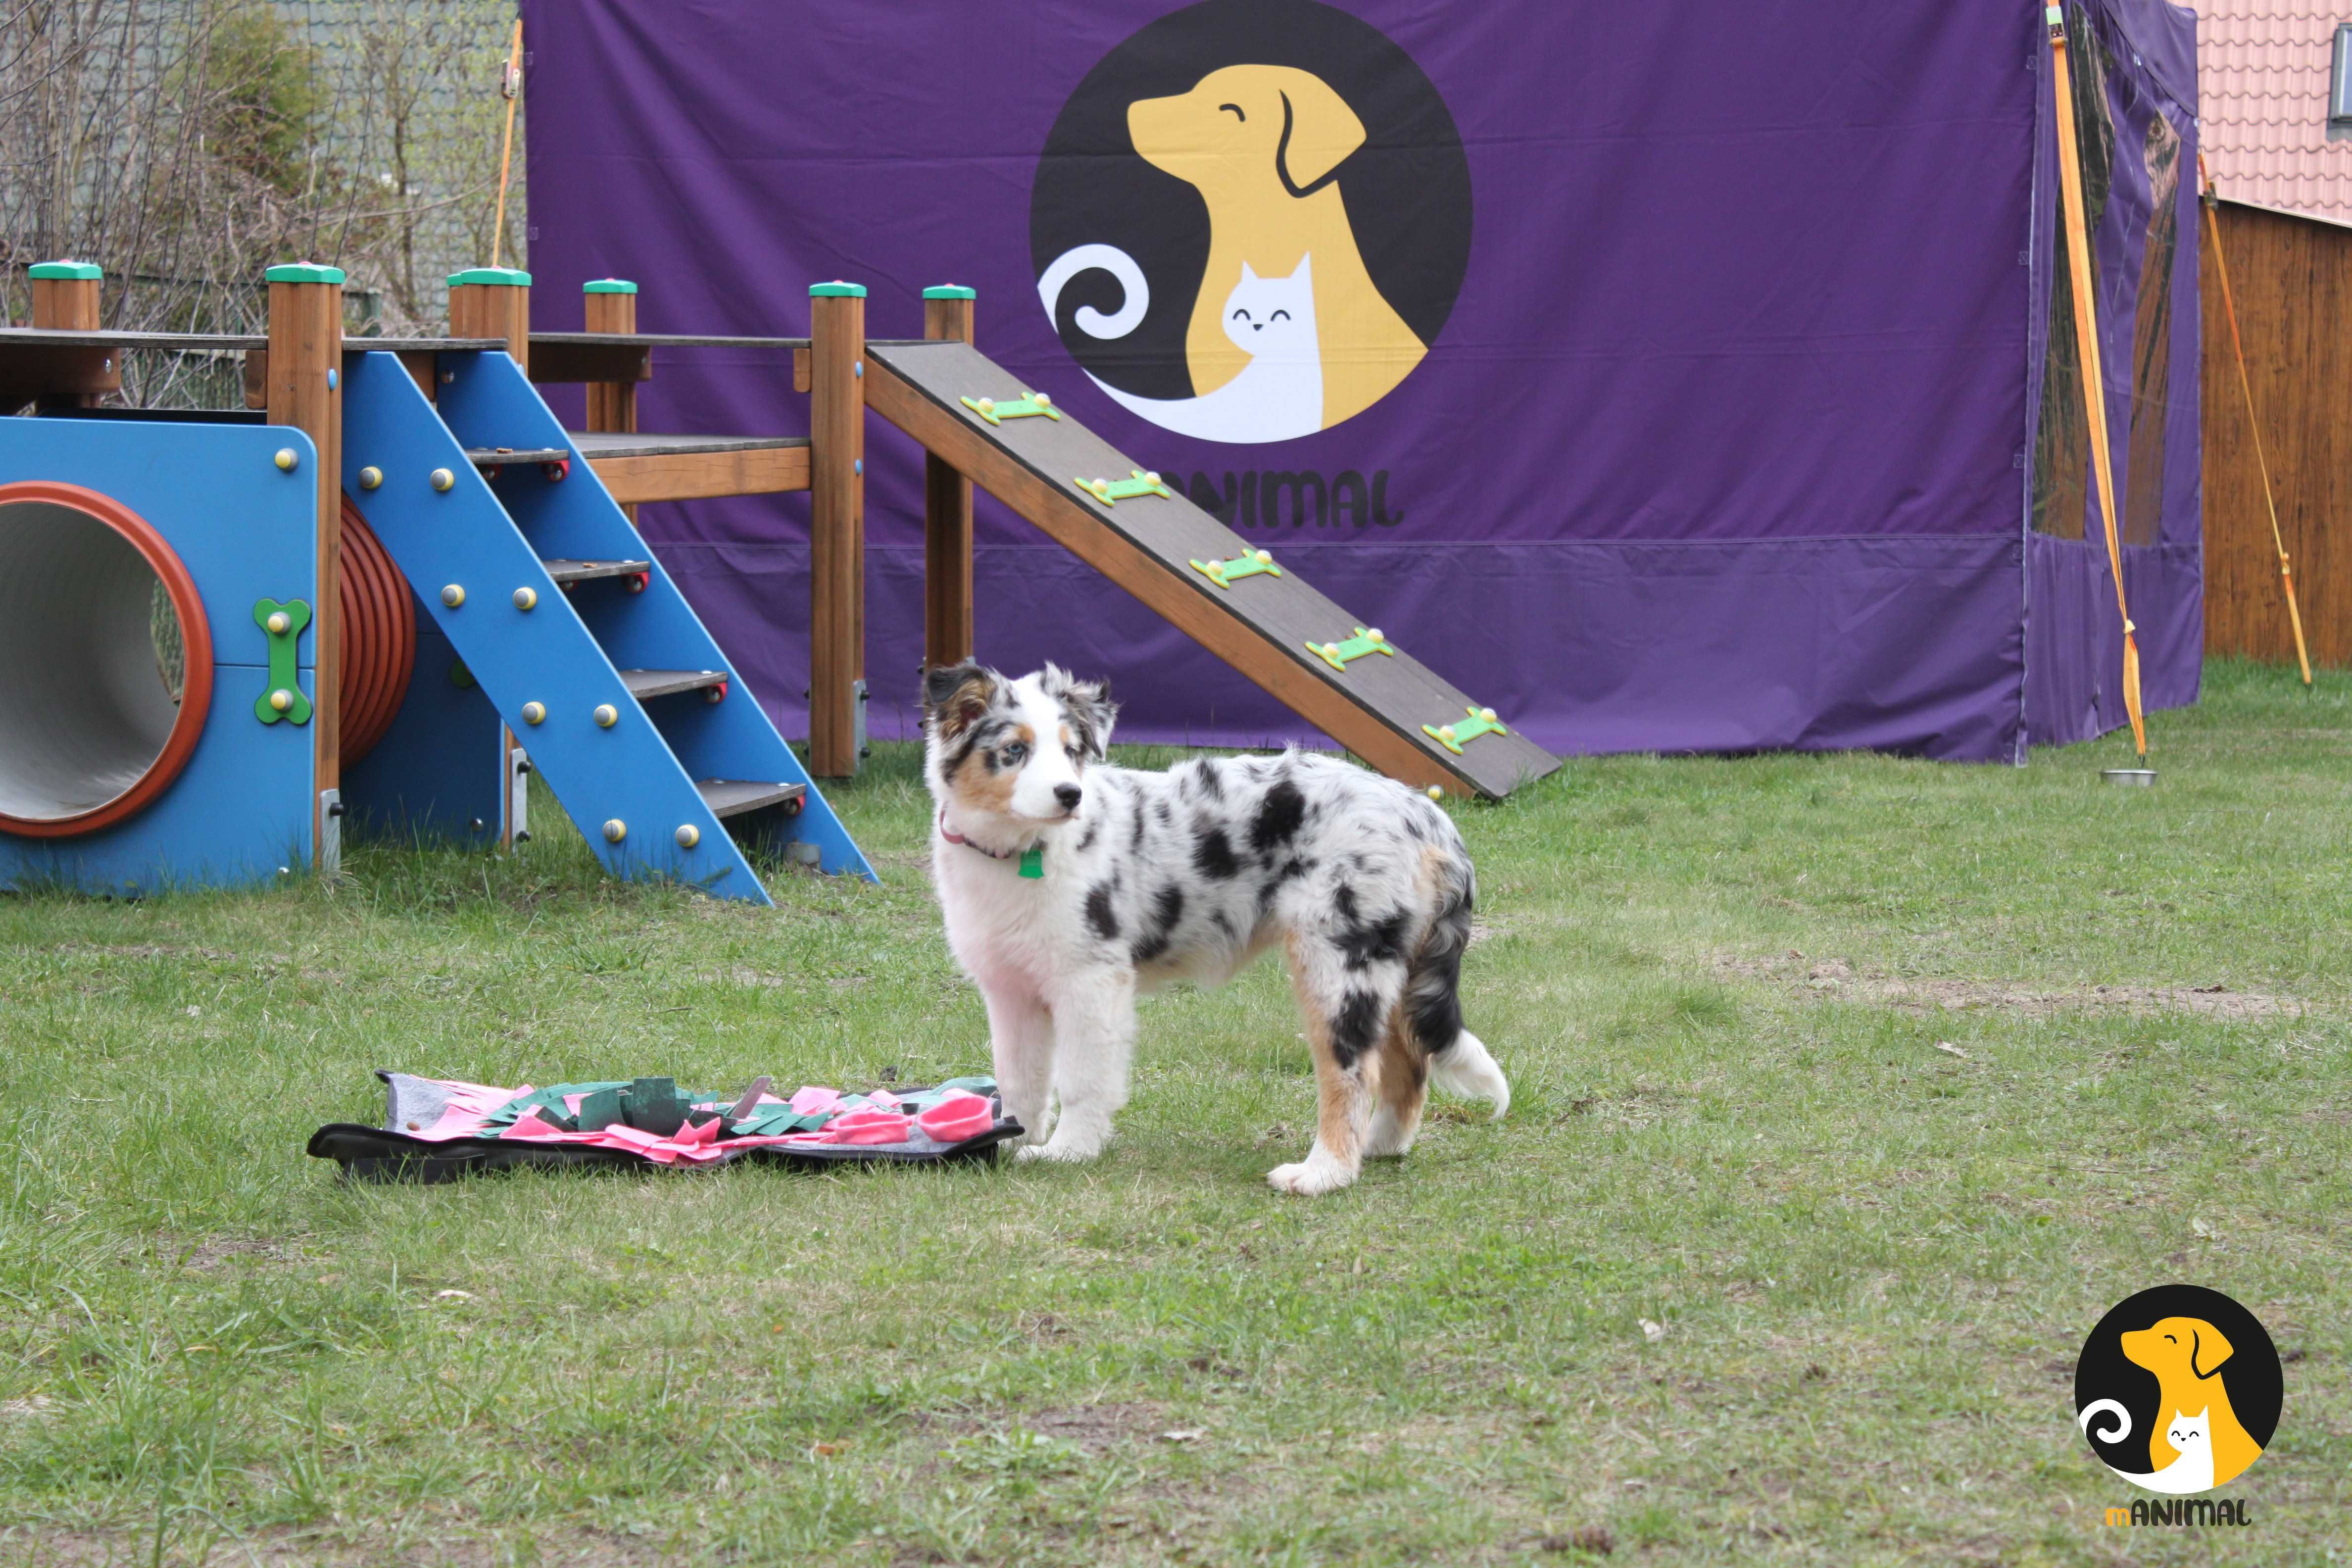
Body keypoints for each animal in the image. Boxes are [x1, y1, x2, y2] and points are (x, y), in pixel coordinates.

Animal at [917, 658, 1505, 1194]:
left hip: (1338, 962)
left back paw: (1324, 1173)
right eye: (1014, 751)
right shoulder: (1010, 988)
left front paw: (1068, 1152)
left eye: (1071, 751)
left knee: (1354, 1072)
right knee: (1409, 1063)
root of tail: (1426, 814)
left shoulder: (1090, 980)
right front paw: (1007, 1140)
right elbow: (1020, 1078)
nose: (1070, 795)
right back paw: (1377, 1148)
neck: (1018, 851)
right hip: (1392, 965)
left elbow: (1082, 1079)